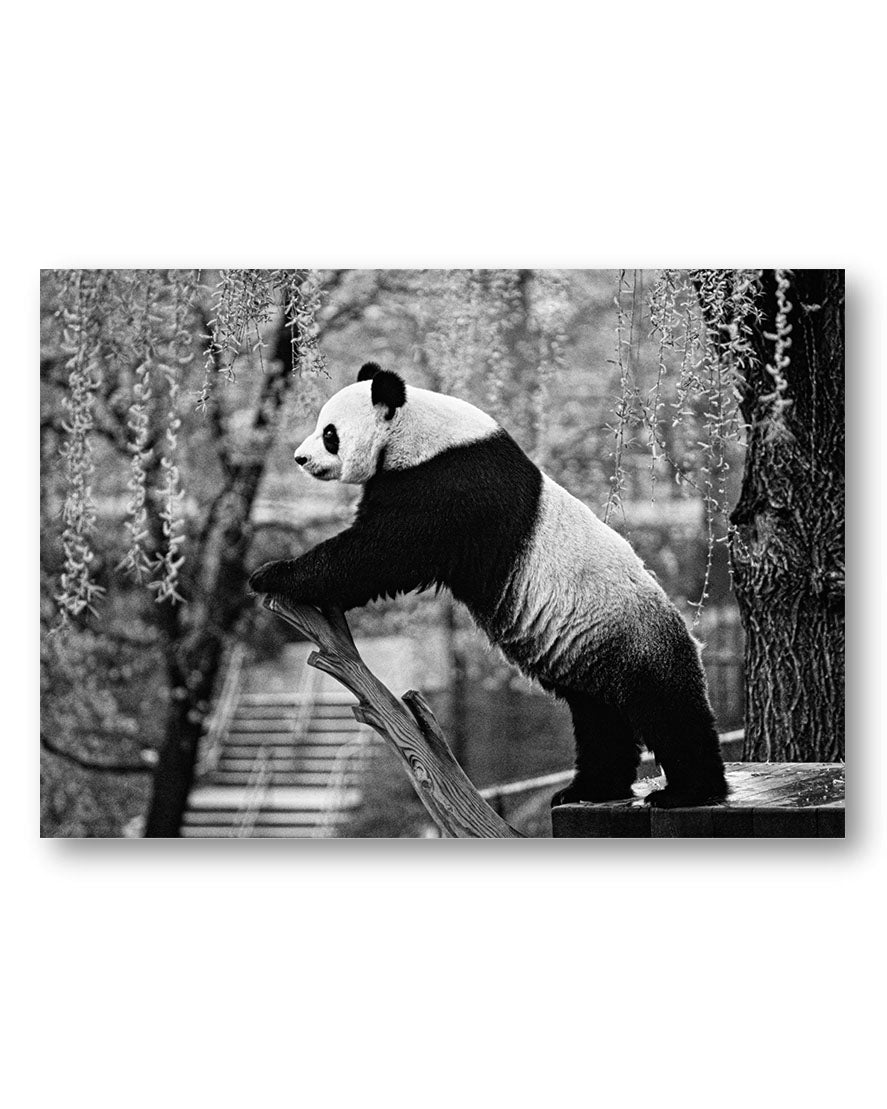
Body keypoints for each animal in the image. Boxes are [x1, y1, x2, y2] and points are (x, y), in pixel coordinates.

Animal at [249, 362, 728, 809]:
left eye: (329, 433)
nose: (300, 458)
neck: (418, 431)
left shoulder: (450, 483)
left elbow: (382, 552)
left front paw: (272, 574)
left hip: (634, 639)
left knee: (668, 710)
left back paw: (689, 791)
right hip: (591, 653)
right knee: (599, 719)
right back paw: (590, 788)